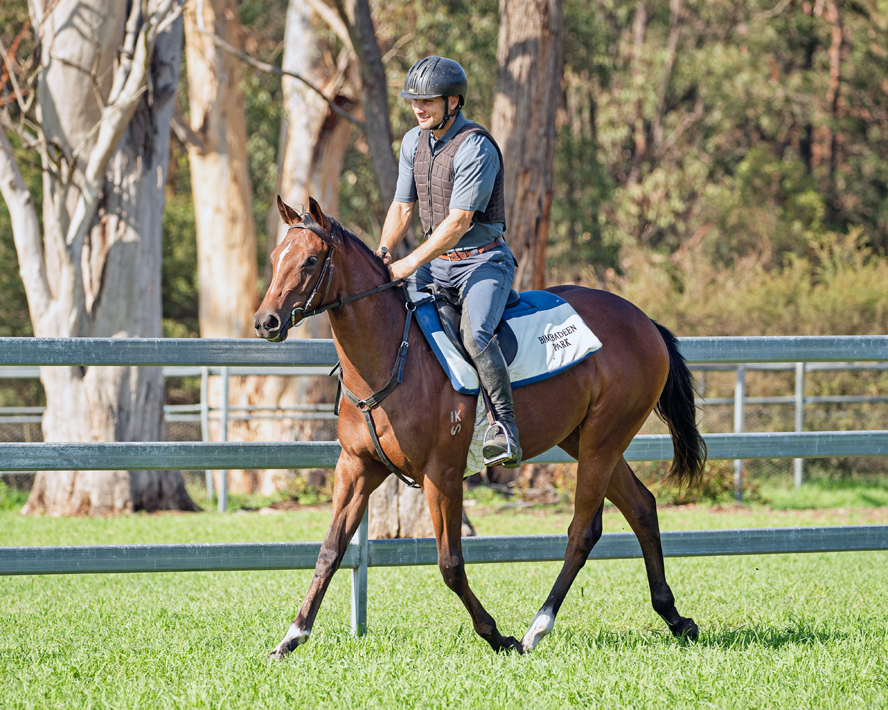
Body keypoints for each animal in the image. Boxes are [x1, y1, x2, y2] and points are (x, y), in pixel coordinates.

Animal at [253, 196, 704, 660]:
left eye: (310, 260)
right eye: (274, 258)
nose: (266, 321)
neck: (393, 355)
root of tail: (644, 321)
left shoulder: (443, 476)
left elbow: (450, 564)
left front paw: (496, 635)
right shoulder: (355, 469)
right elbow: (329, 551)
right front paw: (291, 637)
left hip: (603, 441)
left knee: (583, 530)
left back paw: (537, 628)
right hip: (585, 441)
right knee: (642, 507)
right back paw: (675, 618)